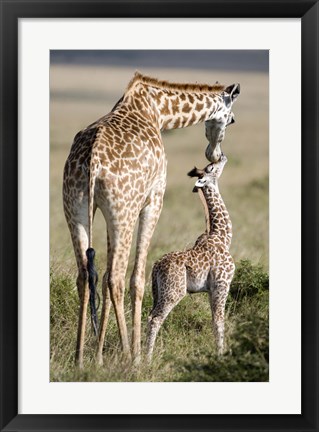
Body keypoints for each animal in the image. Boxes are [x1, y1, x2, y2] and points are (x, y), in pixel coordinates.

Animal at [147, 154, 235, 362]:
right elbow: (219, 321)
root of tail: (155, 266)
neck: (223, 236)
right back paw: (145, 360)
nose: (223, 156)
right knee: (155, 319)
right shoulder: (222, 284)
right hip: (173, 292)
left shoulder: (211, 289)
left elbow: (214, 320)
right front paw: (221, 356)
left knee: (148, 316)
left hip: (157, 291)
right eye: (211, 167)